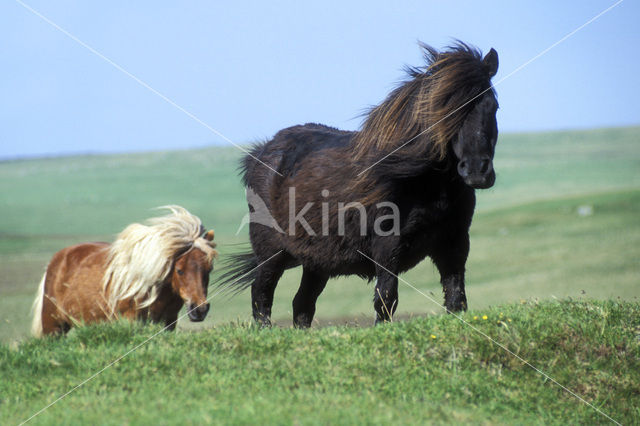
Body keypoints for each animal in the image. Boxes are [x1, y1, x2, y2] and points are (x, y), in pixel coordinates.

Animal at [30, 206, 218, 336]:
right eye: (179, 270)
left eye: (209, 269)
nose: (200, 310)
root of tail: (57, 260)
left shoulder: (168, 323)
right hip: (53, 328)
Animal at [220, 42, 500, 326]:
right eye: (447, 109)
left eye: (493, 107)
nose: (477, 171)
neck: (421, 181)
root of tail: (261, 153)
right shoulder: (387, 248)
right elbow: (386, 299)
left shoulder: (454, 243)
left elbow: (456, 299)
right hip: (271, 253)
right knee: (261, 294)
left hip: (317, 261)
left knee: (302, 304)